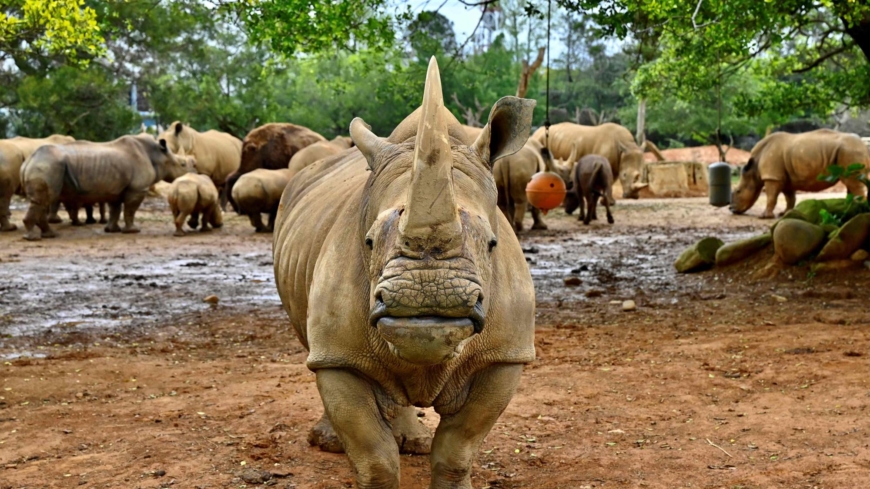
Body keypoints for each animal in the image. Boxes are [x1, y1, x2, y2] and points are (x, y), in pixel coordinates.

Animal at [20, 134, 189, 239]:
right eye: (182, 164)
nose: (190, 172)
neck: (157, 154)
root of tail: (28, 161)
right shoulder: (137, 189)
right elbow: (130, 210)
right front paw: (133, 231)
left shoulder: (116, 189)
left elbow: (115, 209)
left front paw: (112, 230)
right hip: (48, 165)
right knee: (44, 200)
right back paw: (33, 238)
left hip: (45, 165)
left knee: (42, 201)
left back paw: (49, 235)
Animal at [272, 59, 540, 486]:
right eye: (367, 242)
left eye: (492, 244)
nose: (428, 294)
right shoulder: (339, 355)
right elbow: (374, 457)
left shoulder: (504, 355)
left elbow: (457, 449)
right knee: (314, 350)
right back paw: (330, 442)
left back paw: (412, 442)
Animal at [728, 127, 870, 217]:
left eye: (738, 191)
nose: (731, 209)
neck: (754, 169)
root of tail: (864, 145)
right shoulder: (784, 179)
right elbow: (790, 197)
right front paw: (785, 214)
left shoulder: (772, 177)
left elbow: (771, 196)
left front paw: (764, 216)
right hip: (850, 152)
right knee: (853, 182)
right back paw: (850, 211)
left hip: (850, 152)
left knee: (853, 182)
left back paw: (859, 212)